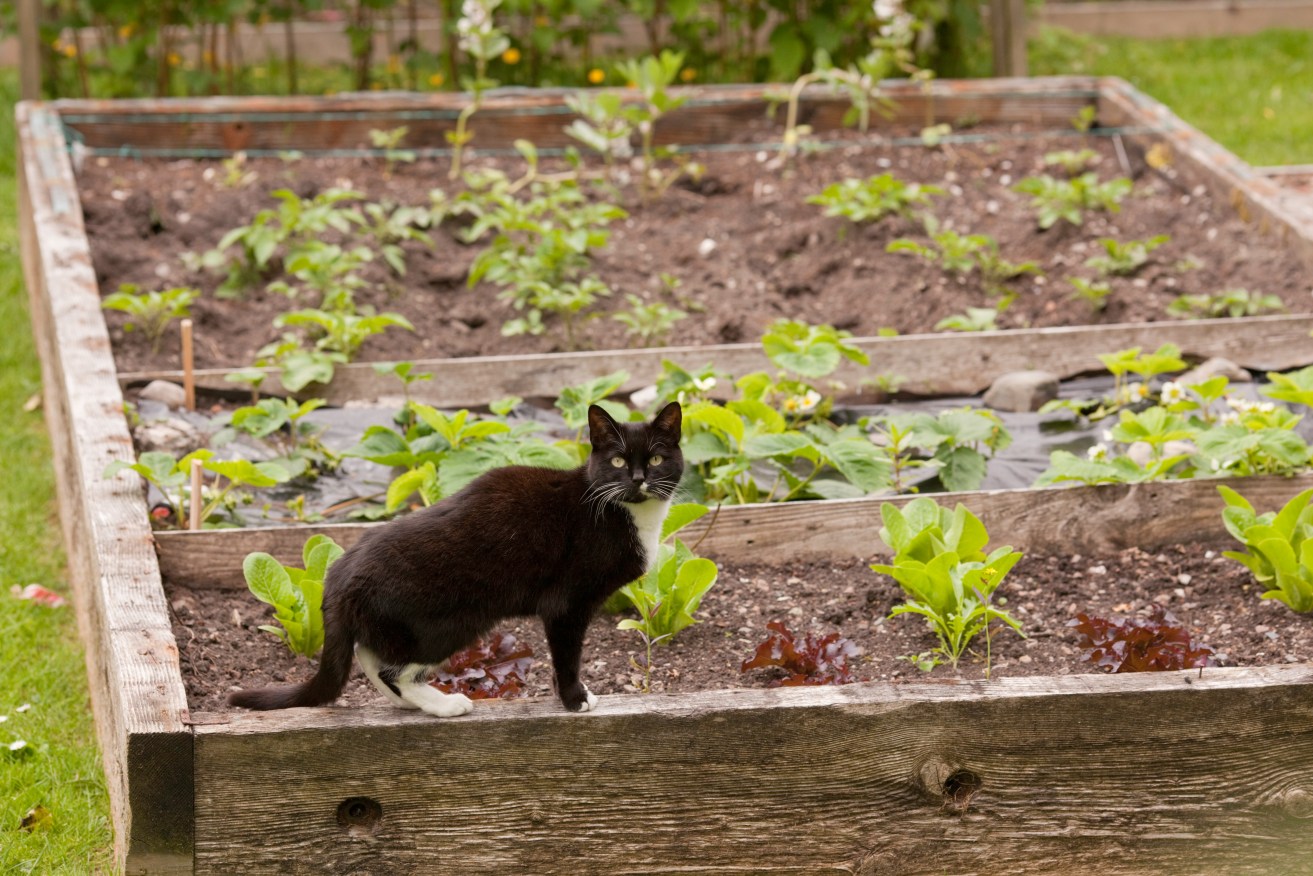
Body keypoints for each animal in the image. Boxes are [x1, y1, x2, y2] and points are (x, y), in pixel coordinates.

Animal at [227, 404, 682, 719]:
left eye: (657, 459)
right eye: (618, 461)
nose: (638, 479)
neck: (629, 514)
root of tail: (337, 575)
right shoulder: (566, 605)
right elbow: (567, 656)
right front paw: (575, 699)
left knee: (370, 654)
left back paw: (415, 704)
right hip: (445, 624)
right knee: (390, 666)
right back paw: (444, 705)